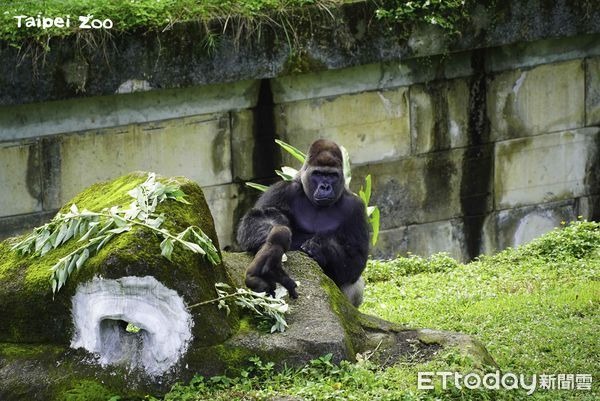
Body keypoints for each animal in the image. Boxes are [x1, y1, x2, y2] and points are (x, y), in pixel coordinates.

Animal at [237, 139, 368, 304]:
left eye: (332, 175)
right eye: (318, 173)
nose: (325, 187)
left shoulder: (355, 207)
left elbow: (356, 257)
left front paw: (322, 249)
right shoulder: (281, 190)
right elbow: (259, 216)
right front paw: (269, 237)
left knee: (354, 283)